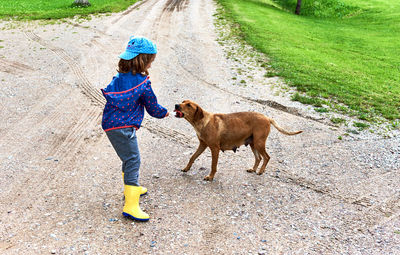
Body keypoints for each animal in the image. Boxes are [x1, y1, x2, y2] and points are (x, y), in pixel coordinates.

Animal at [173, 99, 302, 181]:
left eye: (189, 105)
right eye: (183, 101)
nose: (176, 105)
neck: (201, 121)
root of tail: (267, 118)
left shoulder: (215, 148)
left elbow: (213, 166)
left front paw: (210, 177)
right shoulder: (202, 145)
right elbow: (192, 157)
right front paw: (186, 168)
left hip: (259, 143)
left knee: (266, 157)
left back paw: (260, 171)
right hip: (253, 144)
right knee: (258, 158)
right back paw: (253, 169)